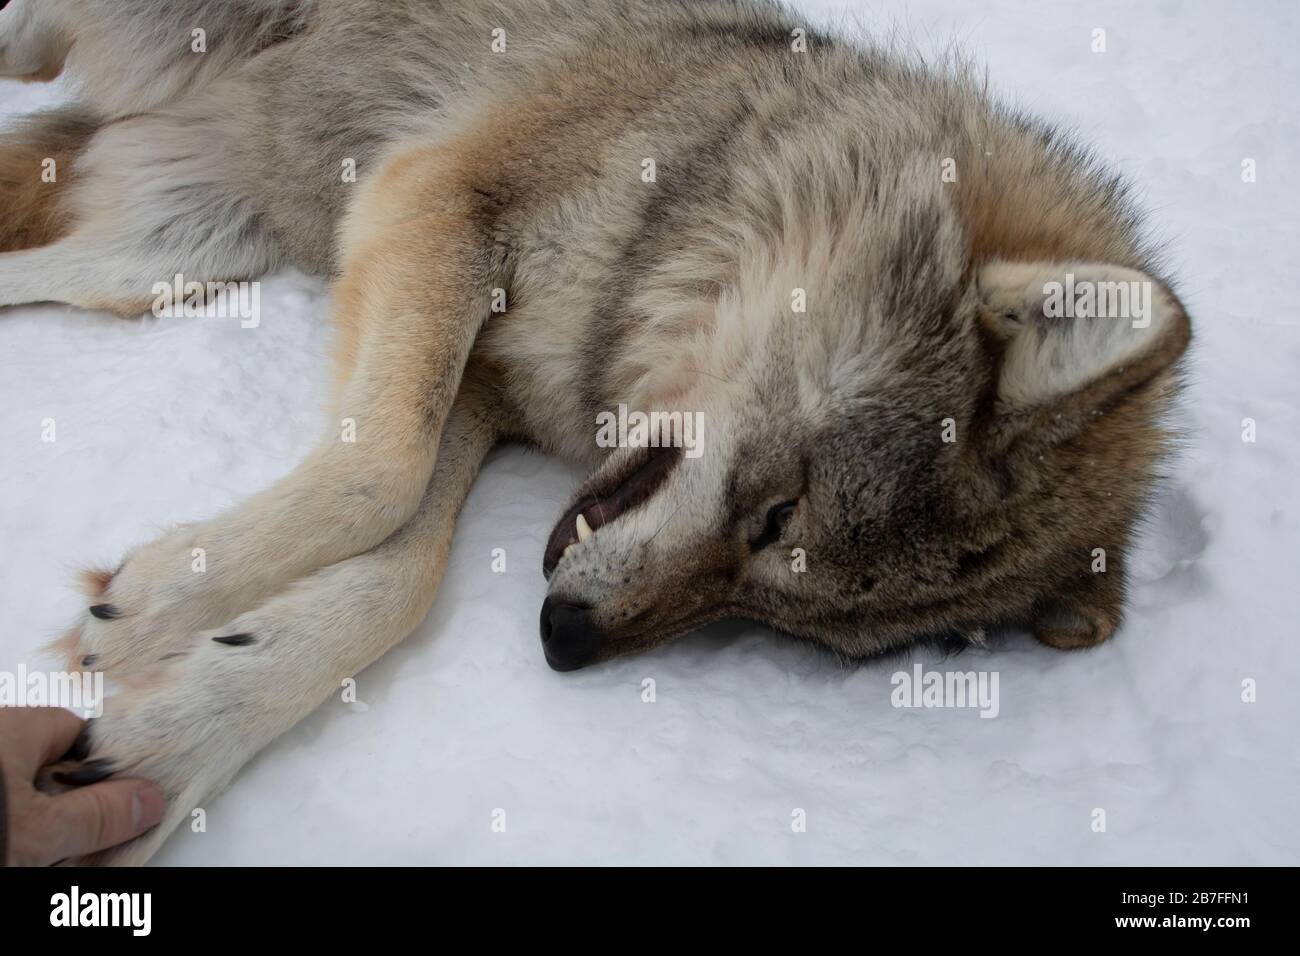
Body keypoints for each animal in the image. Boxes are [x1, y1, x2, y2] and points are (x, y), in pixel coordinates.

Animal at [0, 0, 1190, 868]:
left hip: (162, 260)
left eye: (784, 623)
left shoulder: (481, 384)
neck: (715, 183)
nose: (564, 641)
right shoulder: (436, 203)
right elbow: (380, 476)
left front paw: (180, 730)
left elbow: (397, 579)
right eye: (778, 515)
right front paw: (172, 595)